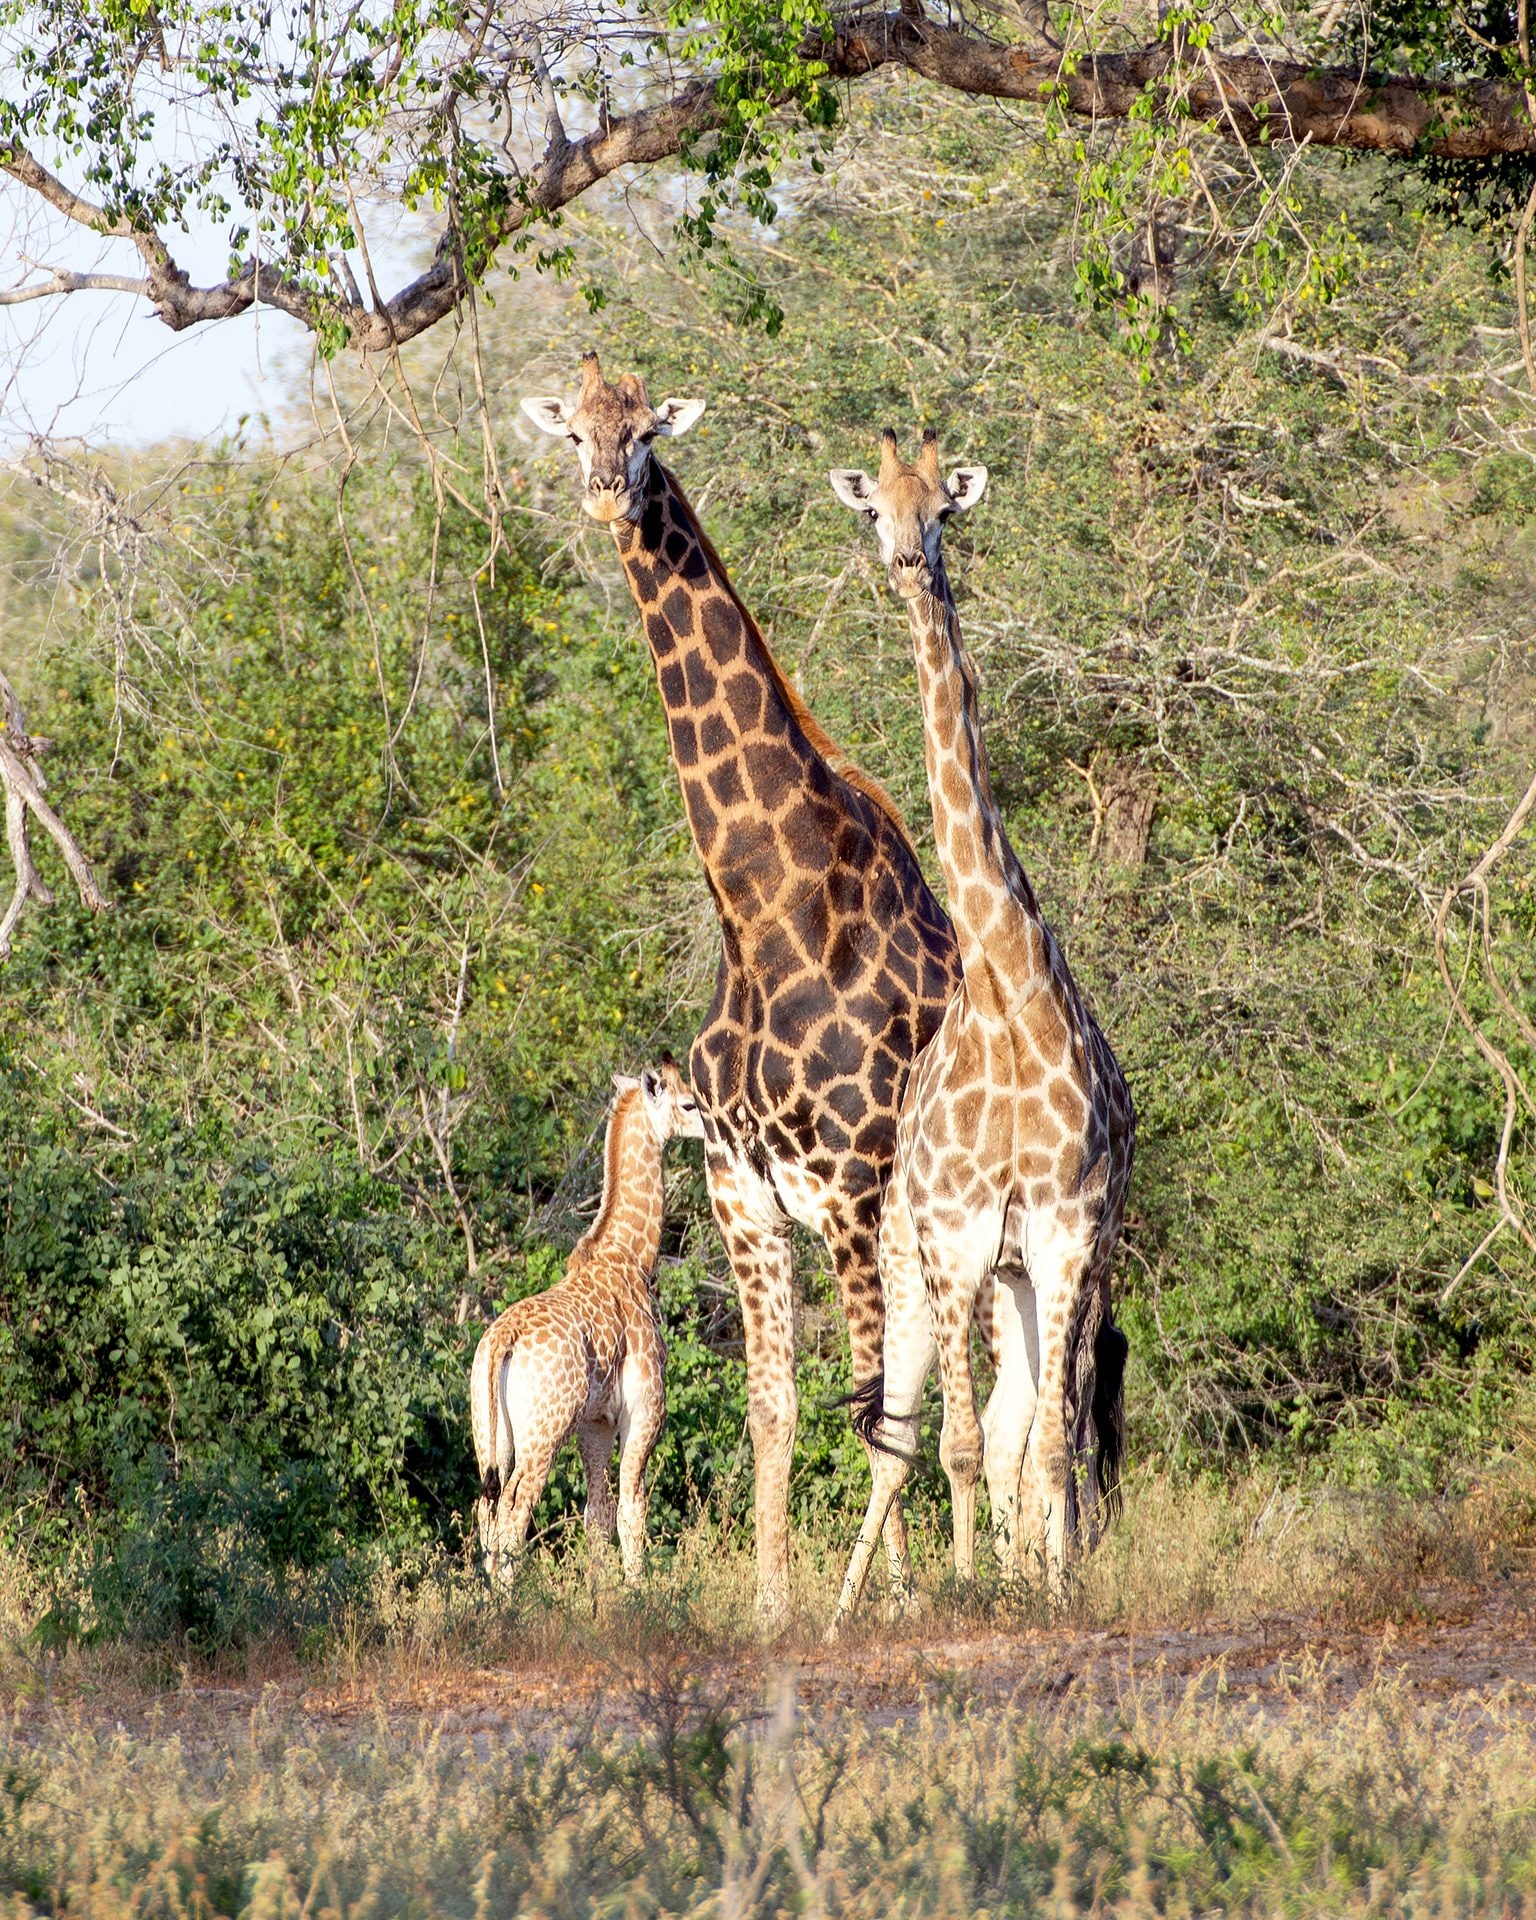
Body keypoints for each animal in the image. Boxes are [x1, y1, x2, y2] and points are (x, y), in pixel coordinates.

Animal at [470, 1057, 705, 1585]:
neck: (631, 1256)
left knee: (486, 1510)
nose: (714, 1126)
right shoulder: (645, 1409)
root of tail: (501, 1342)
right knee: (514, 1511)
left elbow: (596, 1512)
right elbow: (632, 1508)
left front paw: (600, 1596)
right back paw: (509, 1602)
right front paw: (639, 1592)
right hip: (543, 1431)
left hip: (489, 1434)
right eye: (688, 1103)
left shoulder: (595, 1422)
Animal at [521, 355, 962, 1625]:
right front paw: (773, 1604)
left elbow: (867, 1403)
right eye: (570, 430)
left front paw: (877, 1605)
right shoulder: (742, 1194)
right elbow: (776, 1408)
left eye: (644, 432)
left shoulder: (853, 1190)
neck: (771, 915)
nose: (604, 497)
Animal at [824, 428, 1134, 1635]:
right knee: (900, 1440)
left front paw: (1045, 1586)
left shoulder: (1061, 1230)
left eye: (944, 512)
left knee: (1028, 1426)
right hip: (918, 1279)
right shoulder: (955, 1240)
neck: (1002, 988)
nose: (910, 565)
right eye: (875, 510)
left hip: (1035, 1276)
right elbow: (953, 1447)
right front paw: (967, 1594)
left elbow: (1042, 1446)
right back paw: (843, 1610)